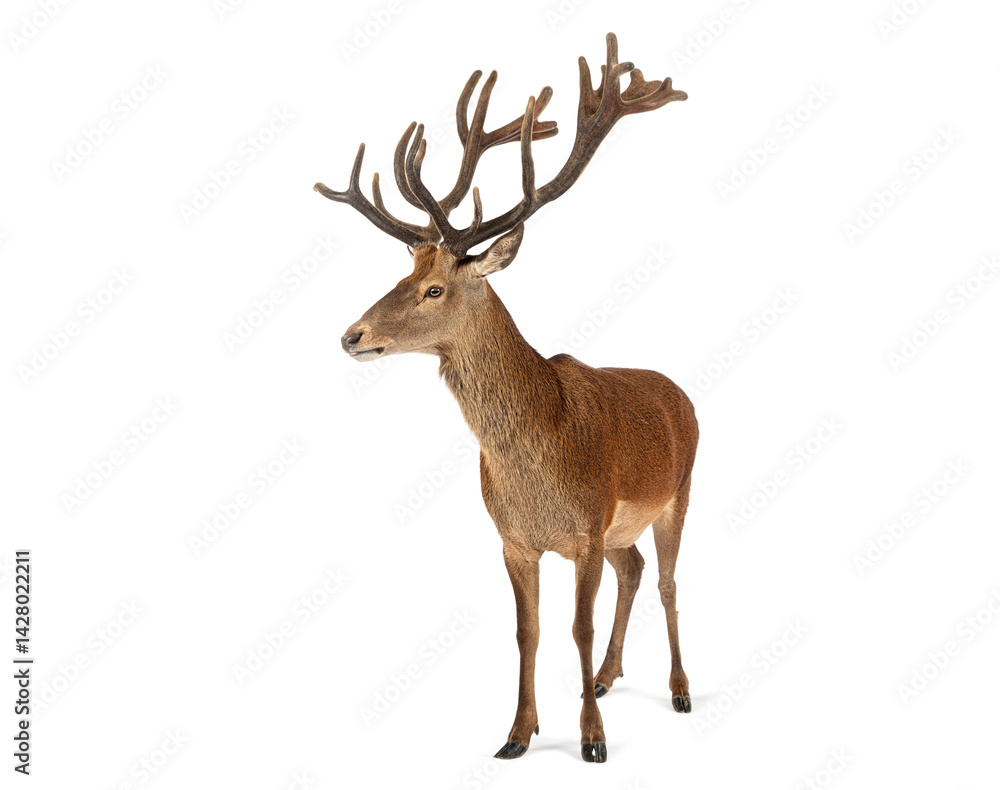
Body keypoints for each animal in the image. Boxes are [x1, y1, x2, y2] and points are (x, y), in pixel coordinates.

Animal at [315, 33, 696, 763]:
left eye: (434, 288)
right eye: (401, 274)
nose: (352, 335)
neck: (537, 460)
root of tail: (681, 392)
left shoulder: (586, 529)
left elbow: (577, 628)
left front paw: (593, 741)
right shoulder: (513, 539)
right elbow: (529, 631)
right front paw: (518, 734)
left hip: (677, 494)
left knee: (666, 581)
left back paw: (680, 689)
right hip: (622, 529)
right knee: (634, 569)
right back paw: (607, 677)